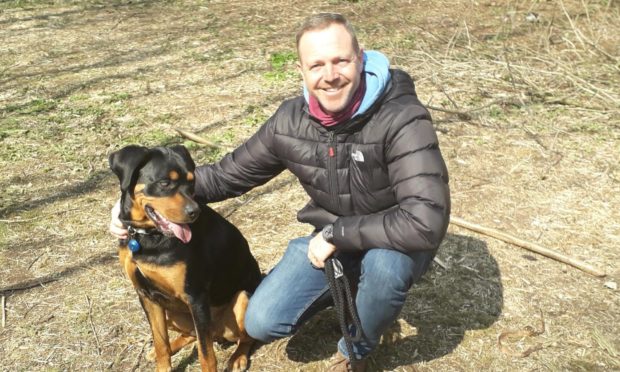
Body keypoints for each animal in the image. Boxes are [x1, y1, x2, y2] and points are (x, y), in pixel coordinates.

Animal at [109, 145, 262, 372]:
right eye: (164, 183)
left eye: (192, 182)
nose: (194, 212)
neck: (147, 237)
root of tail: (218, 333)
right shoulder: (146, 295)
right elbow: (161, 342)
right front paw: (162, 362)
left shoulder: (195, 296)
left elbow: (206, 355)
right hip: (171, 313)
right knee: (188, 335)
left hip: (242, 299)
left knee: (245, 337)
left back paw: (238, 357)